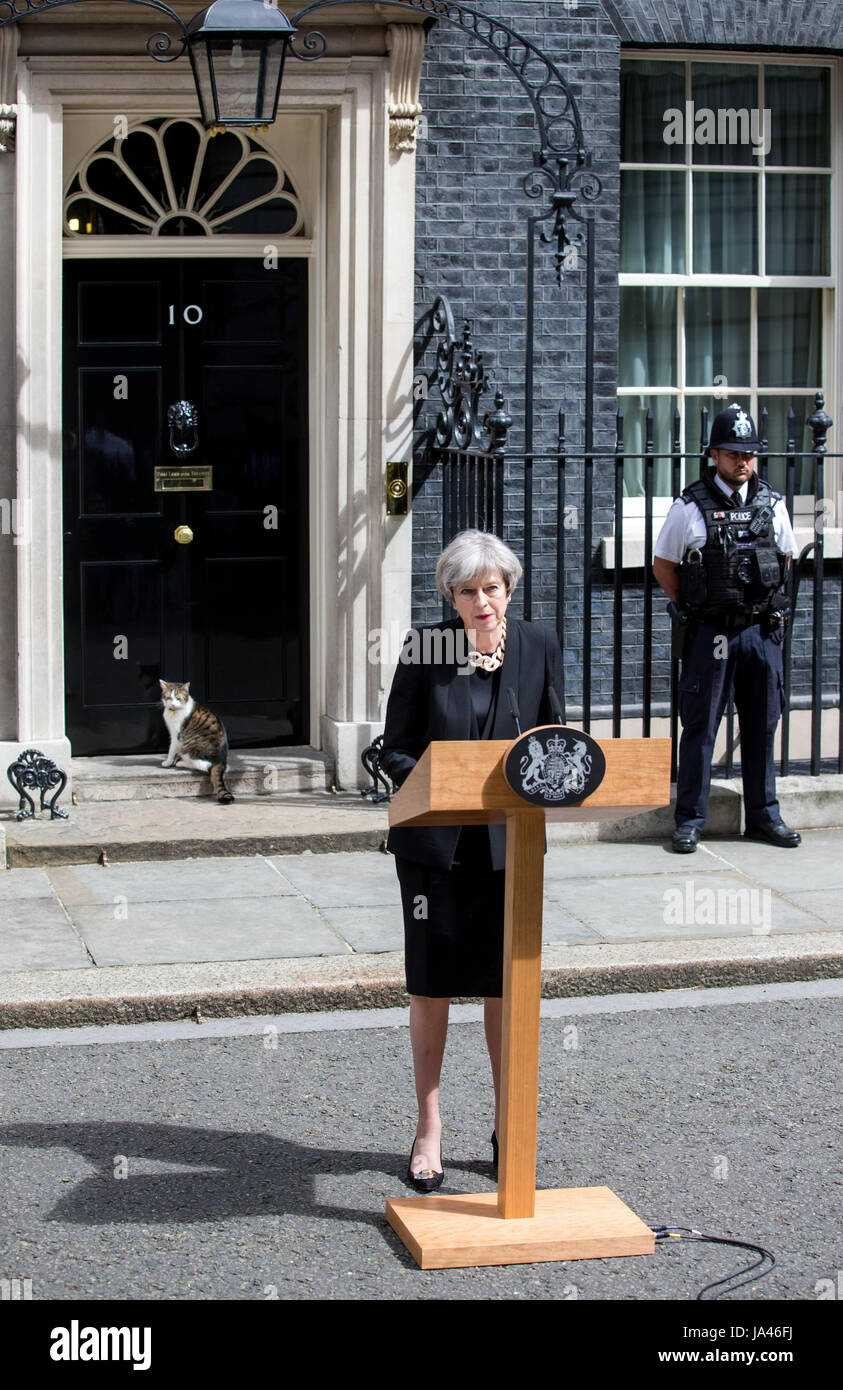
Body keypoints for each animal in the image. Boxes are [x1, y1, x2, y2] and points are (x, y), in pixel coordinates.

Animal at [159, 675, 235, 806]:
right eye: (169, 697)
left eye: (178, 698)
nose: (173, 704)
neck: (174, 712)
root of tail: (221, 760)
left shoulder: (176, 735)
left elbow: (171, 749)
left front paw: (168, 762)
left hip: (188, 747)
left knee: (203, 765)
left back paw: (180, 762)